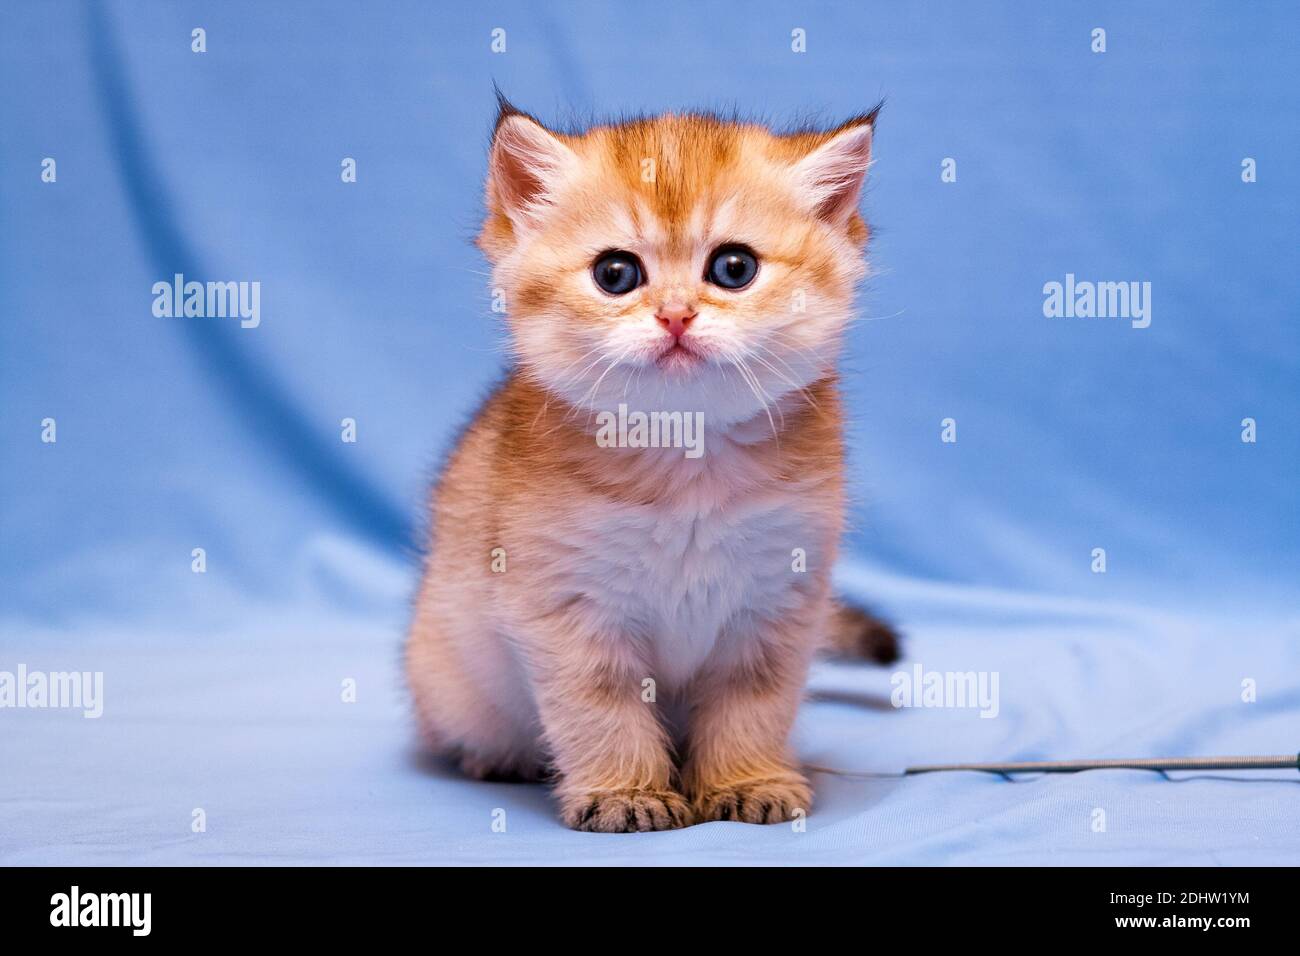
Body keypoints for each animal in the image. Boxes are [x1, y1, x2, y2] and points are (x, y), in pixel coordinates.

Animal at [405, 98, 894, 832]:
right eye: (615, 274)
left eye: (733, 268)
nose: (675, 316)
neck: (684, 455)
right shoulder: (565, 610)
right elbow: (601, 709)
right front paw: (626, 793)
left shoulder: (779, 604)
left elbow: (754, 704)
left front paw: (747, 780)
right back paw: (497, 757)